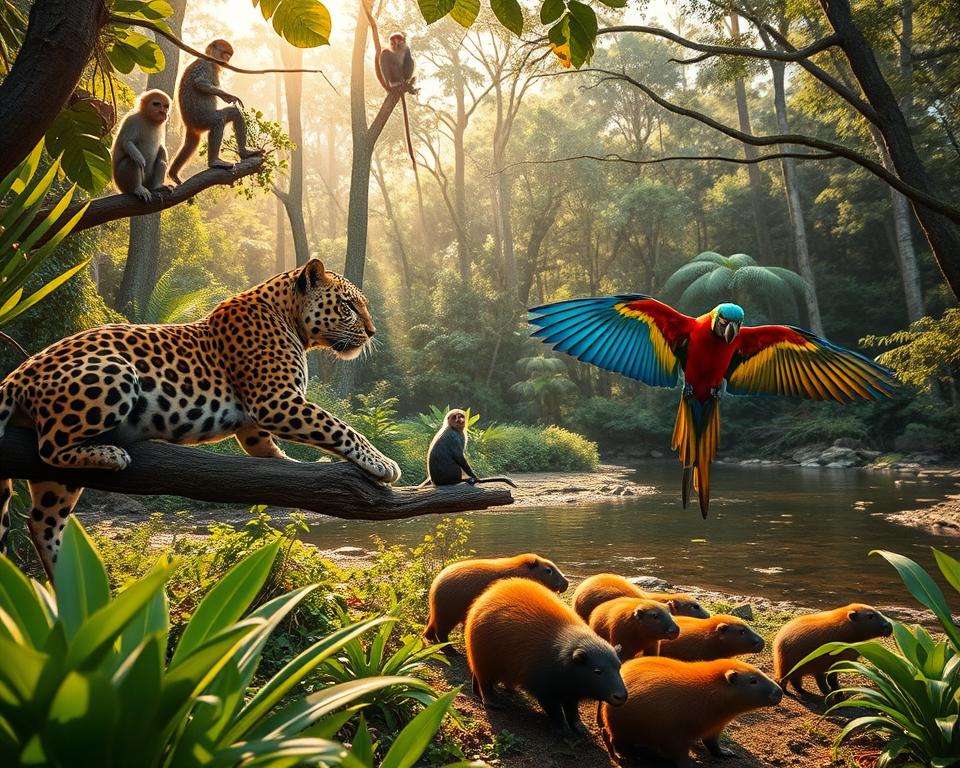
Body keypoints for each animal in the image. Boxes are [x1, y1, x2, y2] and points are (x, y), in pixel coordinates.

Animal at [0, 258, 401, 581]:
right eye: (348, 305)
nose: (372, 332)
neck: (290, 319)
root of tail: (17, 373)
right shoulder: (275, 401)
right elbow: (339, 427)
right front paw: (381, 463)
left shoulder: (258, 420)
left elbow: (267, 448)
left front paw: (290, 464)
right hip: (116, 373)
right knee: (51, 446)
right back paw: (111, 455)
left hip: (57, 484)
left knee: (42, 520)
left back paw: (65, 580)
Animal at [168, 39, 263, 185]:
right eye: (225, 54)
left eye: (229, 56)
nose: (226, 60)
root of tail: (188, 124)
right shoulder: (205, 64)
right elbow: (199, 82)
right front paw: (228, 96)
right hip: (202, 119)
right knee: (219, 121)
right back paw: (214, 162)